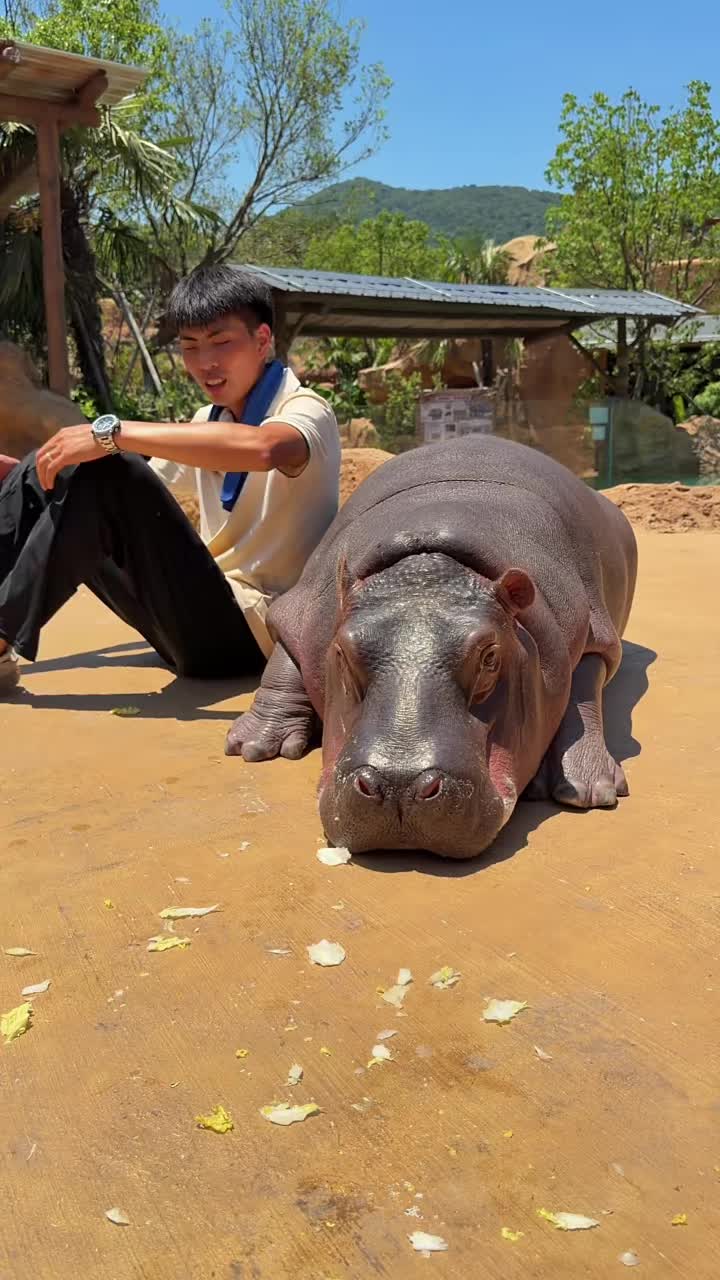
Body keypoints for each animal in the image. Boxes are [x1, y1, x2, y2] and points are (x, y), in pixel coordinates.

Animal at [226, 436, 637, 859]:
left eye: (490, 657)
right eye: (342, 651)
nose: (399, 785)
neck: (429, 568)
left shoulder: (592, 629)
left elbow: (585, 695)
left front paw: (589, 790)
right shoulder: (308, 605)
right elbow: (283, 659)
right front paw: (254, 748)